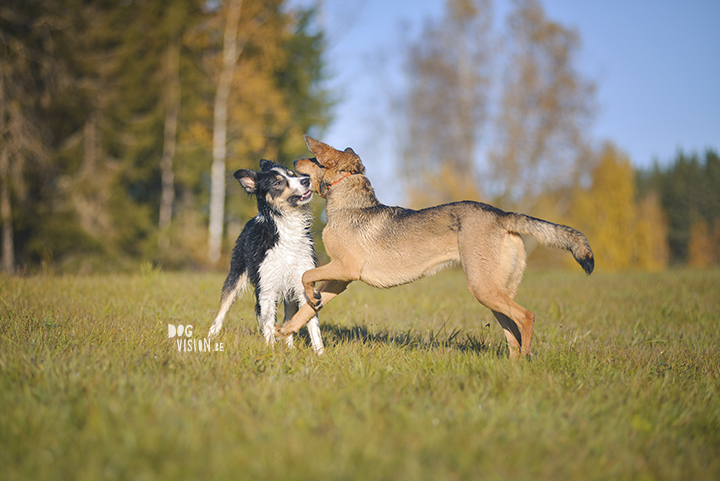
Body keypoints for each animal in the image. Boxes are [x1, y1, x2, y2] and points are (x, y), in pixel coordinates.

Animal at [207, 159, 322, 350]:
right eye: (278, 183)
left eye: (292, 174)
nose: (306, 180)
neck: (287, 226)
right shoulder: (266, 287)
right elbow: (268, 323)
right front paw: (271, 350)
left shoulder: (302, 282)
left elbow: (312, 323)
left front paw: (320, 352)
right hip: (235, 275)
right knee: (222, 310)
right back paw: (211, 335)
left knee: (289, 318)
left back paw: (290, 348)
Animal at [274, 135, 592, 356]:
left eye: (311, 159)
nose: (292, 164)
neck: (348, 203)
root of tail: (502, 215)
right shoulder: (341, 280)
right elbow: (307, 310)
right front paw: (285, 330)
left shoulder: (345, 269)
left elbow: (306, 276)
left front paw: (308, 297)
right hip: (493, 291)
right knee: (512, 332)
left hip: (484, 288)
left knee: (526, 317)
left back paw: (527, 362)